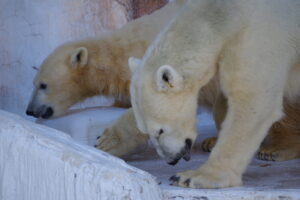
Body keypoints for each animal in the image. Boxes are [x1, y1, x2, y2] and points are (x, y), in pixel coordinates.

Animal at [129, 0, 300, 189]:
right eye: (145, 131)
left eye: (160, 130)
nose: (171, 160)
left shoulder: (260, 37)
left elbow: (253, 101)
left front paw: (192, 177)